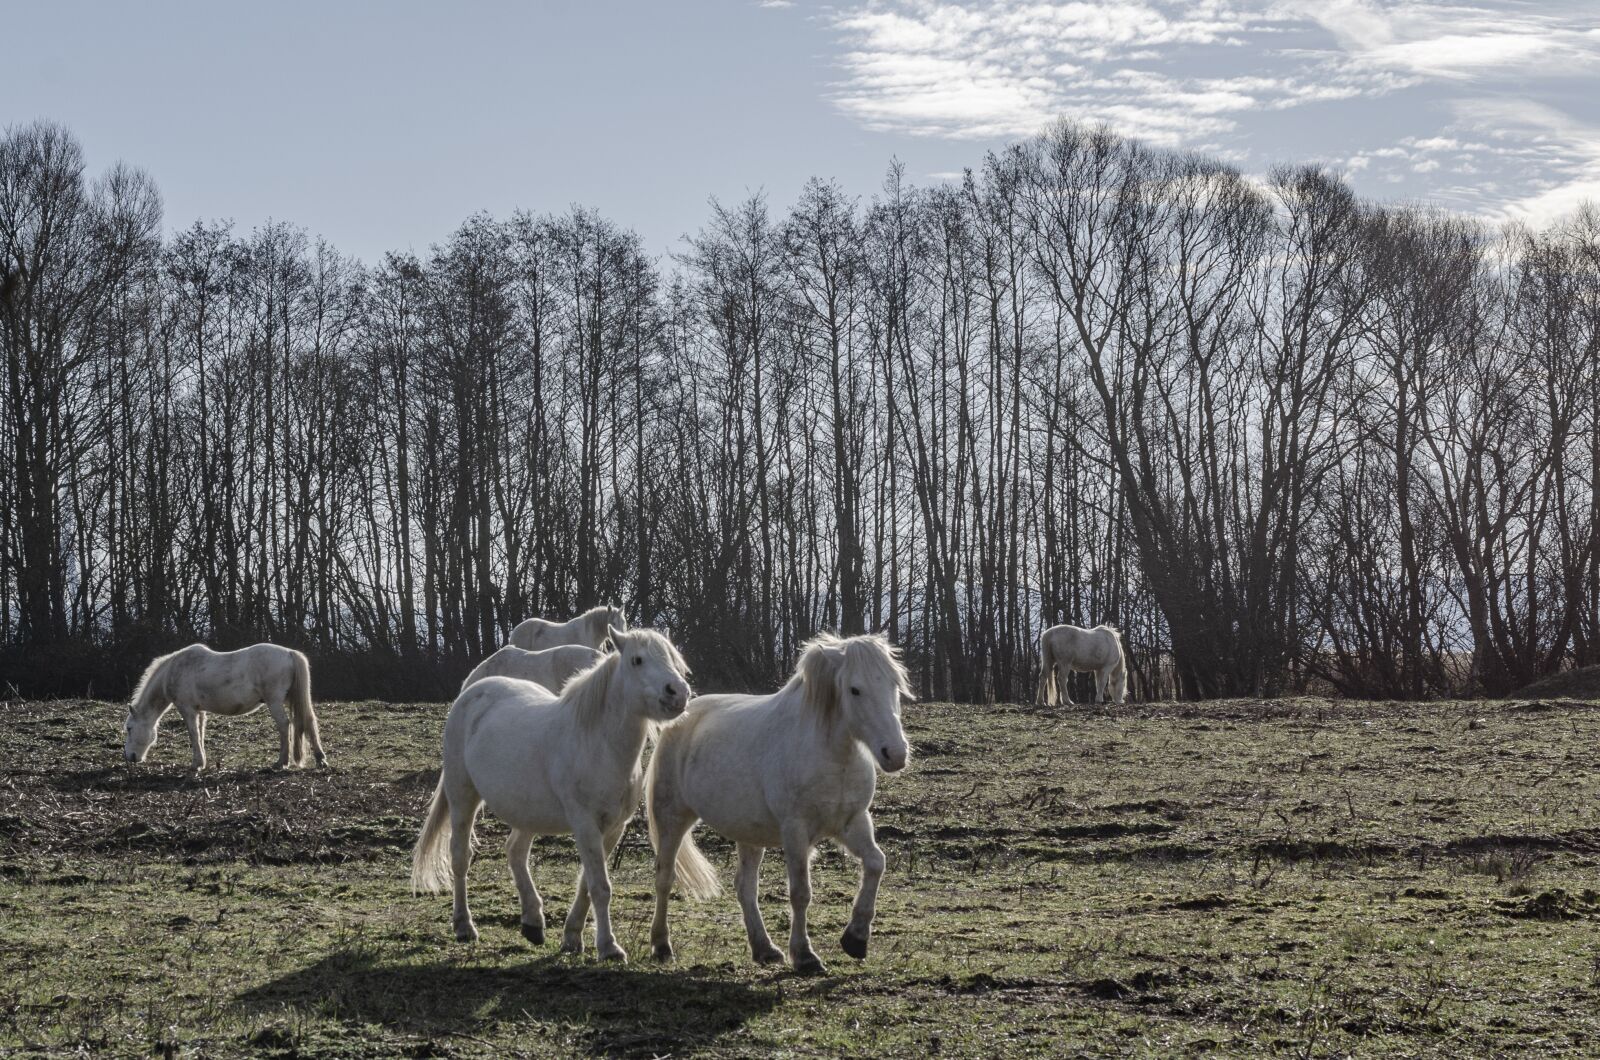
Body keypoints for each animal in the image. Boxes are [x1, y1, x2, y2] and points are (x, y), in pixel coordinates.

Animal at [122, 643, 326, 772]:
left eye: (129, 728)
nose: (129, 757)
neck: (175, 670)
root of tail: (289, 653)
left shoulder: (187, 709)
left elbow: (193, 734)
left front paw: (196, 764)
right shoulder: (200, 711)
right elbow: (200, 733)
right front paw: (202, 762)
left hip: (274, 701)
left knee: (284, 725)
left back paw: (281, 762)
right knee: (308, 721)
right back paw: (320, 759)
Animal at [646, 632, 912, 974]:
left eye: (894, 684)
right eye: (855, 689)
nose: (896, 754)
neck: (834, 757)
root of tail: (683, 717)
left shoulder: (852, 823)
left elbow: (876, 863)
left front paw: (855, 938)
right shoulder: (796, 831)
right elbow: (800, 892)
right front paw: (805, 955)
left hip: (748, 833)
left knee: (745, 887)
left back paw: (765, 949)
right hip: (672, 819)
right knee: (665, 878)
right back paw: (661, 946)